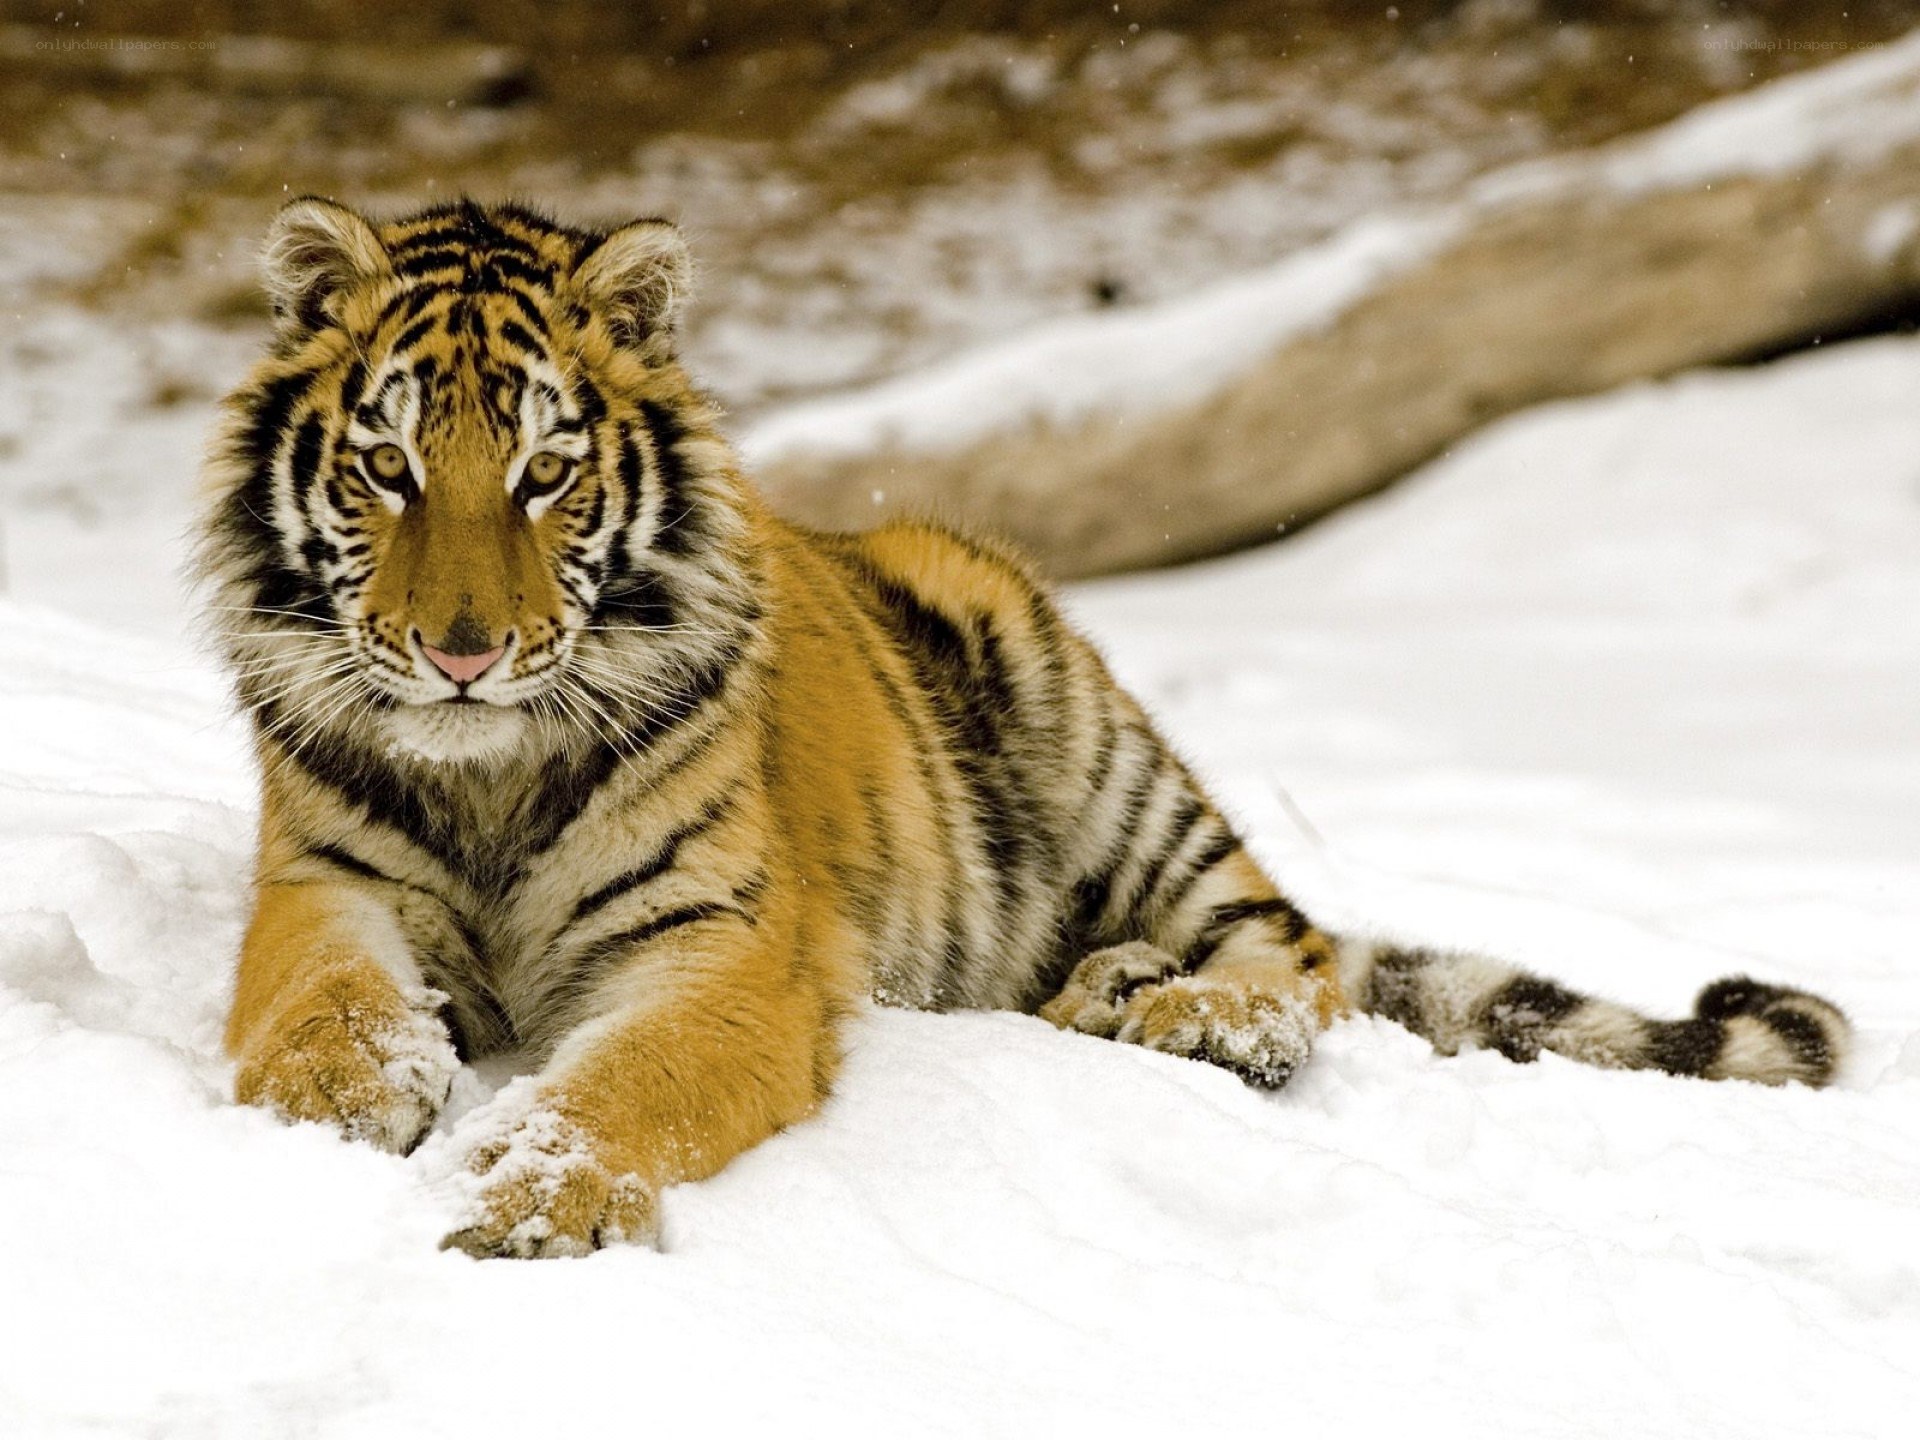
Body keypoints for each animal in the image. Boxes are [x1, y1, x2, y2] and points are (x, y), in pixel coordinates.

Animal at [195, 197, 1852, 1259]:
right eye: (390, 469)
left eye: (545, 473)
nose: (463, 653)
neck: (488, 771)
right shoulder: (323, 882)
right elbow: (317, 998)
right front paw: (340, 1103)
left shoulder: (727, 947)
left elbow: (626, 1080)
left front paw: (531, 1196)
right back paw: (1108, 990)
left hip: (1087, 727)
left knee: (1295, 952)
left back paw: (1193, 1014)